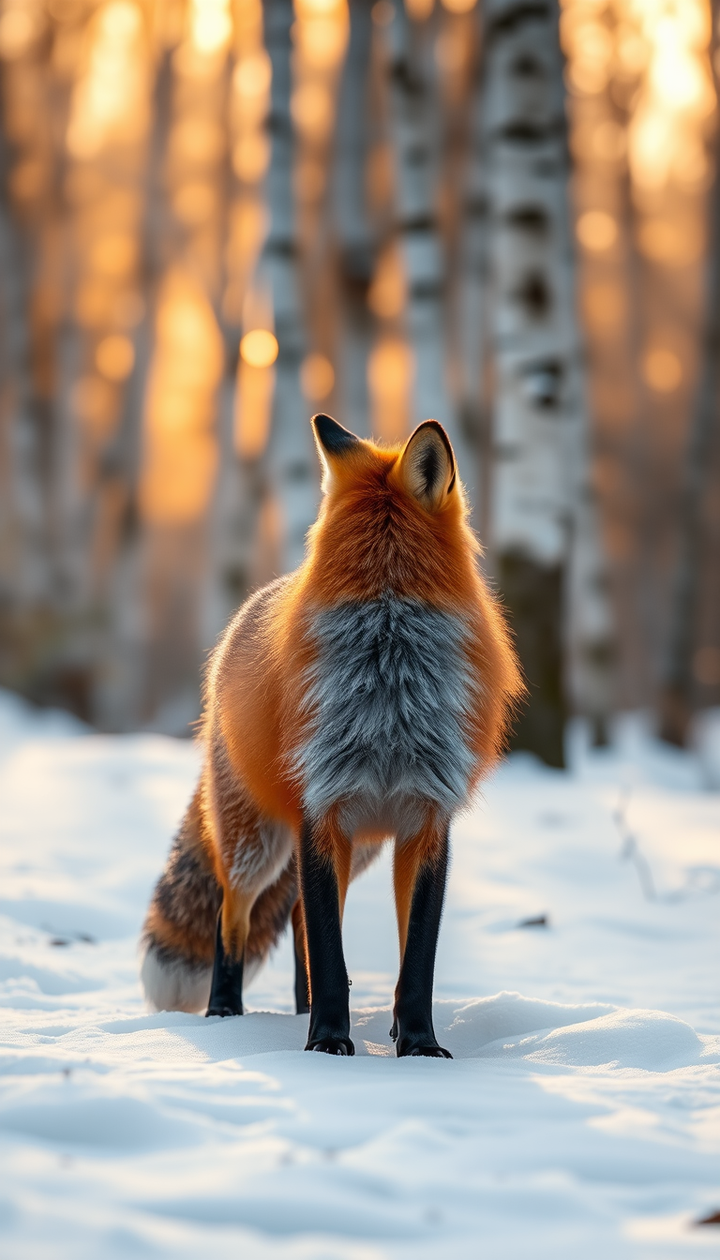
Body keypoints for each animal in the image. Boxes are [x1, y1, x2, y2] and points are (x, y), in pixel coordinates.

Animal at [141, 414, 523, 1056]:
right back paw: (227, 1013)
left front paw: (417, 1043)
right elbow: (328, 949)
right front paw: (326, 1044)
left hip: (358, 846)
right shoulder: (322, 809)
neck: (389, 688)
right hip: (258, 843)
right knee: (233, 916)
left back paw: (300, 1009)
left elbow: (412, 958)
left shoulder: (426, 819)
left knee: (297, 918)